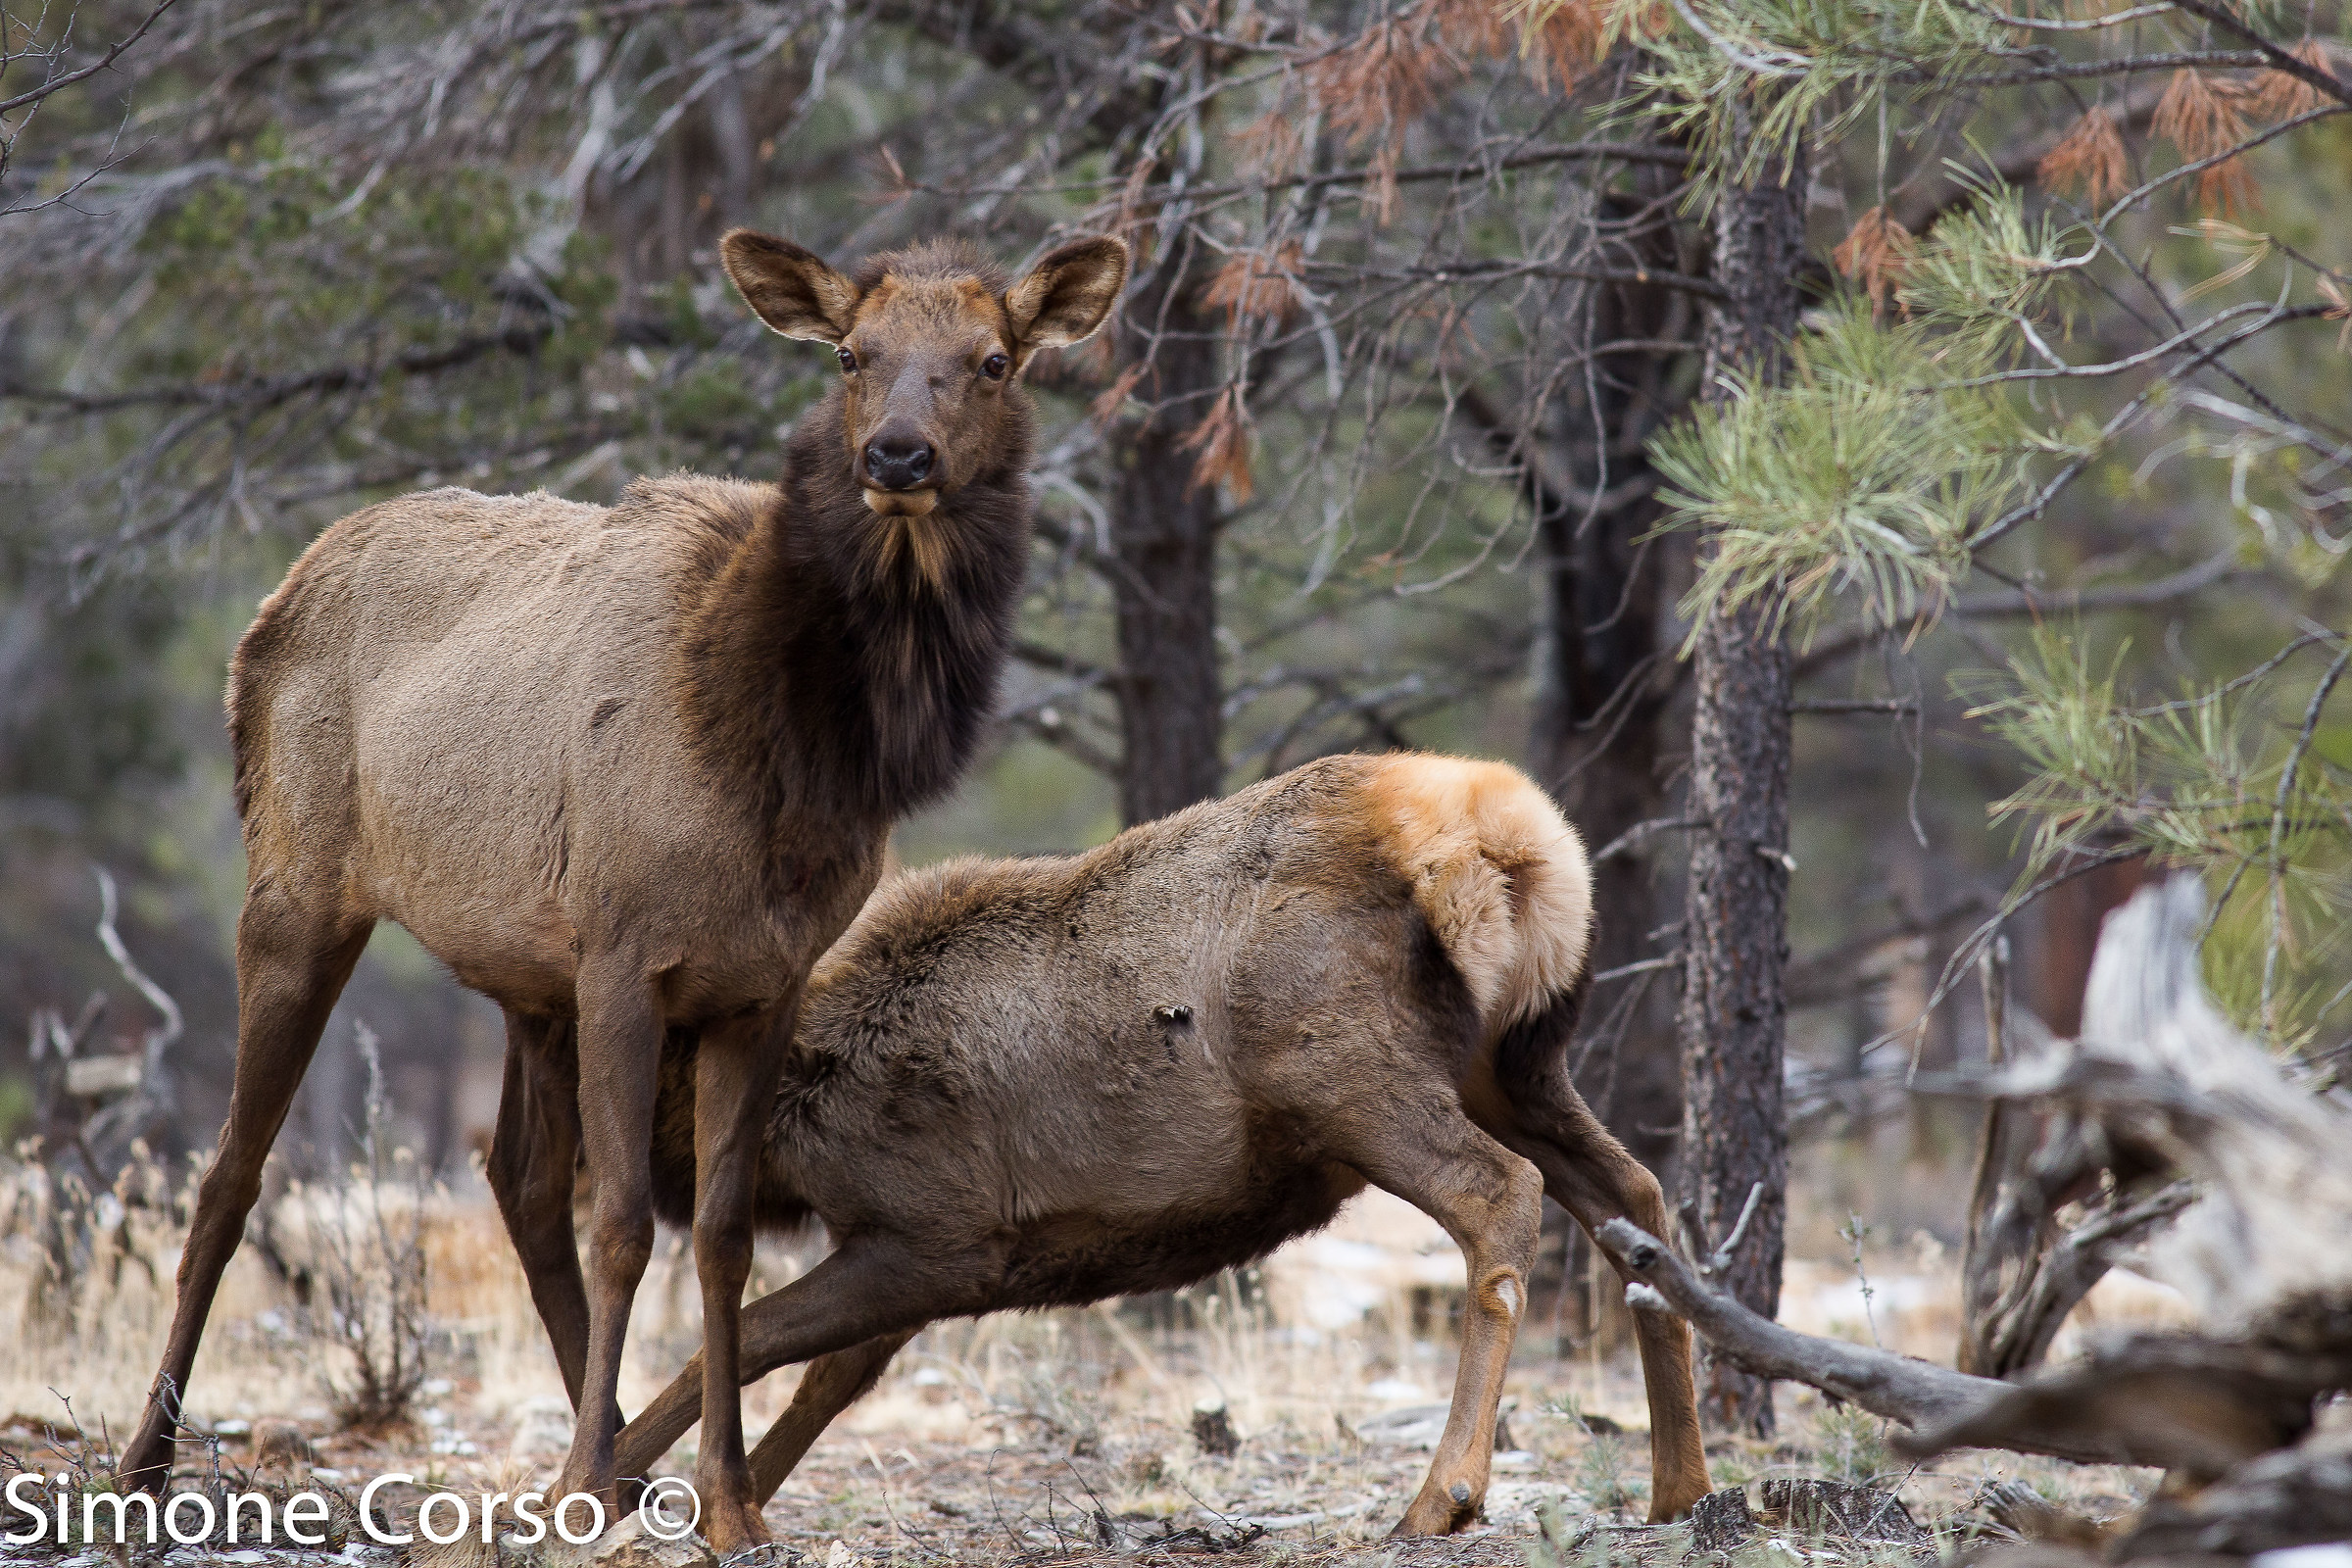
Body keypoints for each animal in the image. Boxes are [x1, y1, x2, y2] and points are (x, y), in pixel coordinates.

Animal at [117, 229, 1130, 1554]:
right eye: (853, 355)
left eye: (995, 359)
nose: (898, 456)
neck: (786, 761)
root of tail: (269, 607)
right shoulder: (622, 957)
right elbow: (628, 1225)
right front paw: (589, 1490)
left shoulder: (763, 983)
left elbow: (722, 1236)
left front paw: (727, 1502)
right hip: (298, 890)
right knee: (232, 1172)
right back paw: (146, 1462)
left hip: (519, 978)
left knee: (516, 1180)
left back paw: (614, 1467)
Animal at [552, 752, 1712, 1532]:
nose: (581, 1162)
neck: (806, 1097)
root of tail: (1506, 841)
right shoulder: (905, 1256)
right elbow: (823, 1376)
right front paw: (712, 1502)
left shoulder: (939, 1238)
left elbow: (749, 1338)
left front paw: (593, 1492)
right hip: (1519, 1064)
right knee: (1637, 1197)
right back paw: (1681, 1485)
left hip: (1347, 1076)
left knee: (1499, 1195)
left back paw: (1446, 1495)